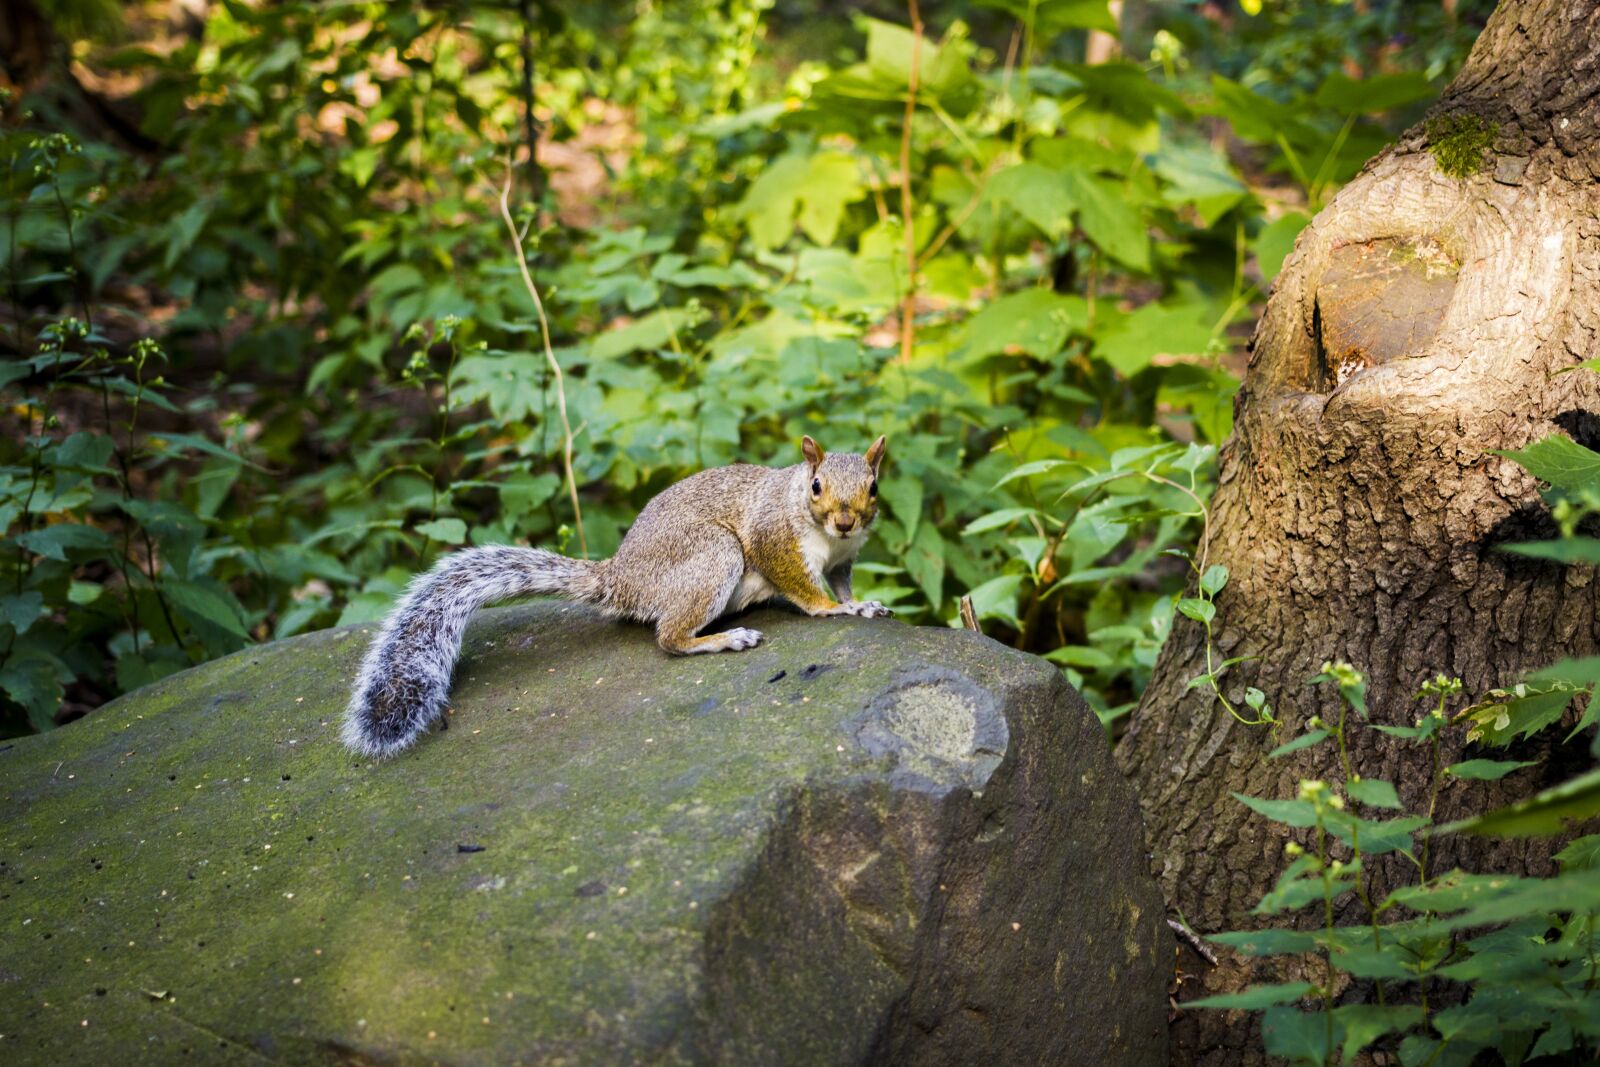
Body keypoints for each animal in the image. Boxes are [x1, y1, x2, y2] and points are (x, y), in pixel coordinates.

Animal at [340, 435, 889, 758]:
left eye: (874, 488)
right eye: (816, 486)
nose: (846, 521)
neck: (825, 535)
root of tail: (623, 578)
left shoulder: (844, 559)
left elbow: (843, 581)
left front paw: (864, 603)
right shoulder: (774, 543)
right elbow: (804, 590)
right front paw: (836, 609)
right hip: (713, 556)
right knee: (668, 637)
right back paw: (721, 639)